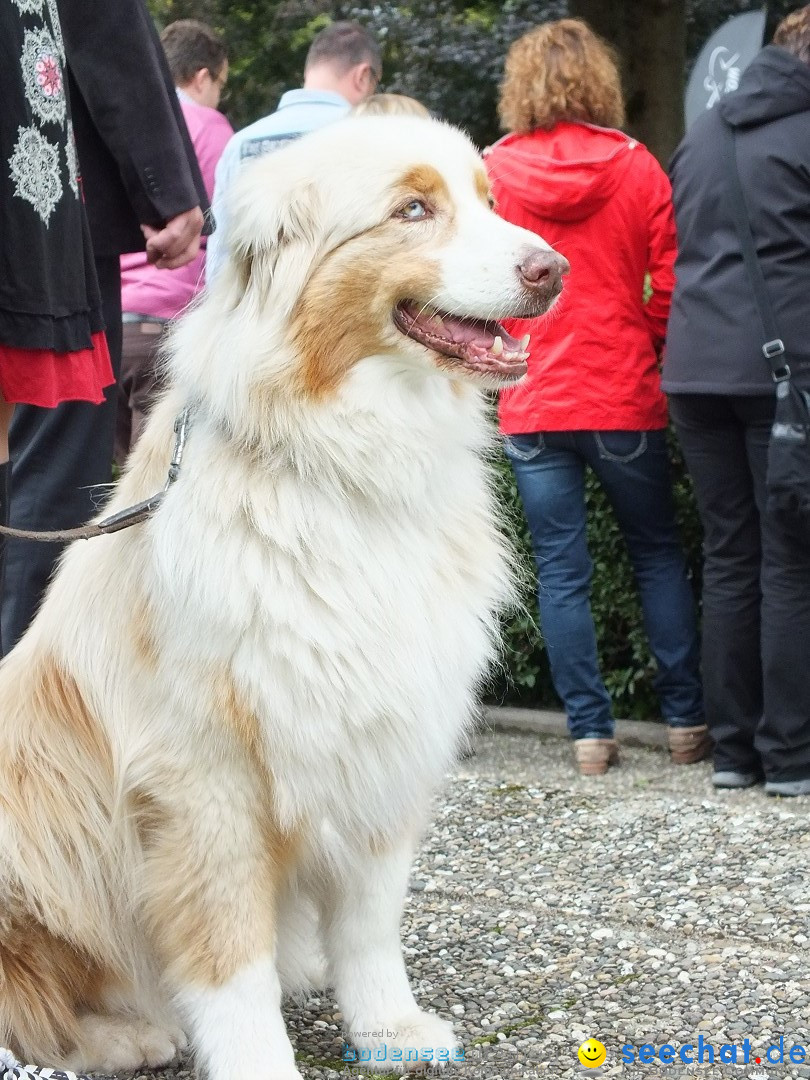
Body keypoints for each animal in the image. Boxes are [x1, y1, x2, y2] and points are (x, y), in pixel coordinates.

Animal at [0, 118, 565, 1080]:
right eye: (413, 209)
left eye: (489, 200)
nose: (554, 269)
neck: (345, 463)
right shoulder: (204, 777)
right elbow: (231, 958)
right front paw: (257, 1061)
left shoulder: (380, 738)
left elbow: (371, 921)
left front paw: (389, 1029)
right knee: (32, 999)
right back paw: (127, 1034)